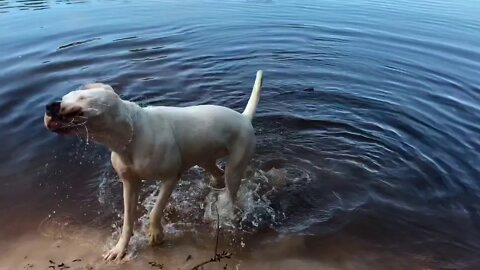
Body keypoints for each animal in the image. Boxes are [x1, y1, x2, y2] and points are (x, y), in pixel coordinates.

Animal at [44, 70, 262, 260]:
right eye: (64, 96)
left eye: (80, 97)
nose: (49, 106)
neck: (128, 136)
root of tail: (244, 117)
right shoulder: (129, 184)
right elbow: (127, 220)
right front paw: (120, 248)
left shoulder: (170, 178)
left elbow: (155, 210)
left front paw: (155, 233)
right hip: (204, 158)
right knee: (217, 173)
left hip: (236, 165)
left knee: (231, 190)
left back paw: (225, 212)